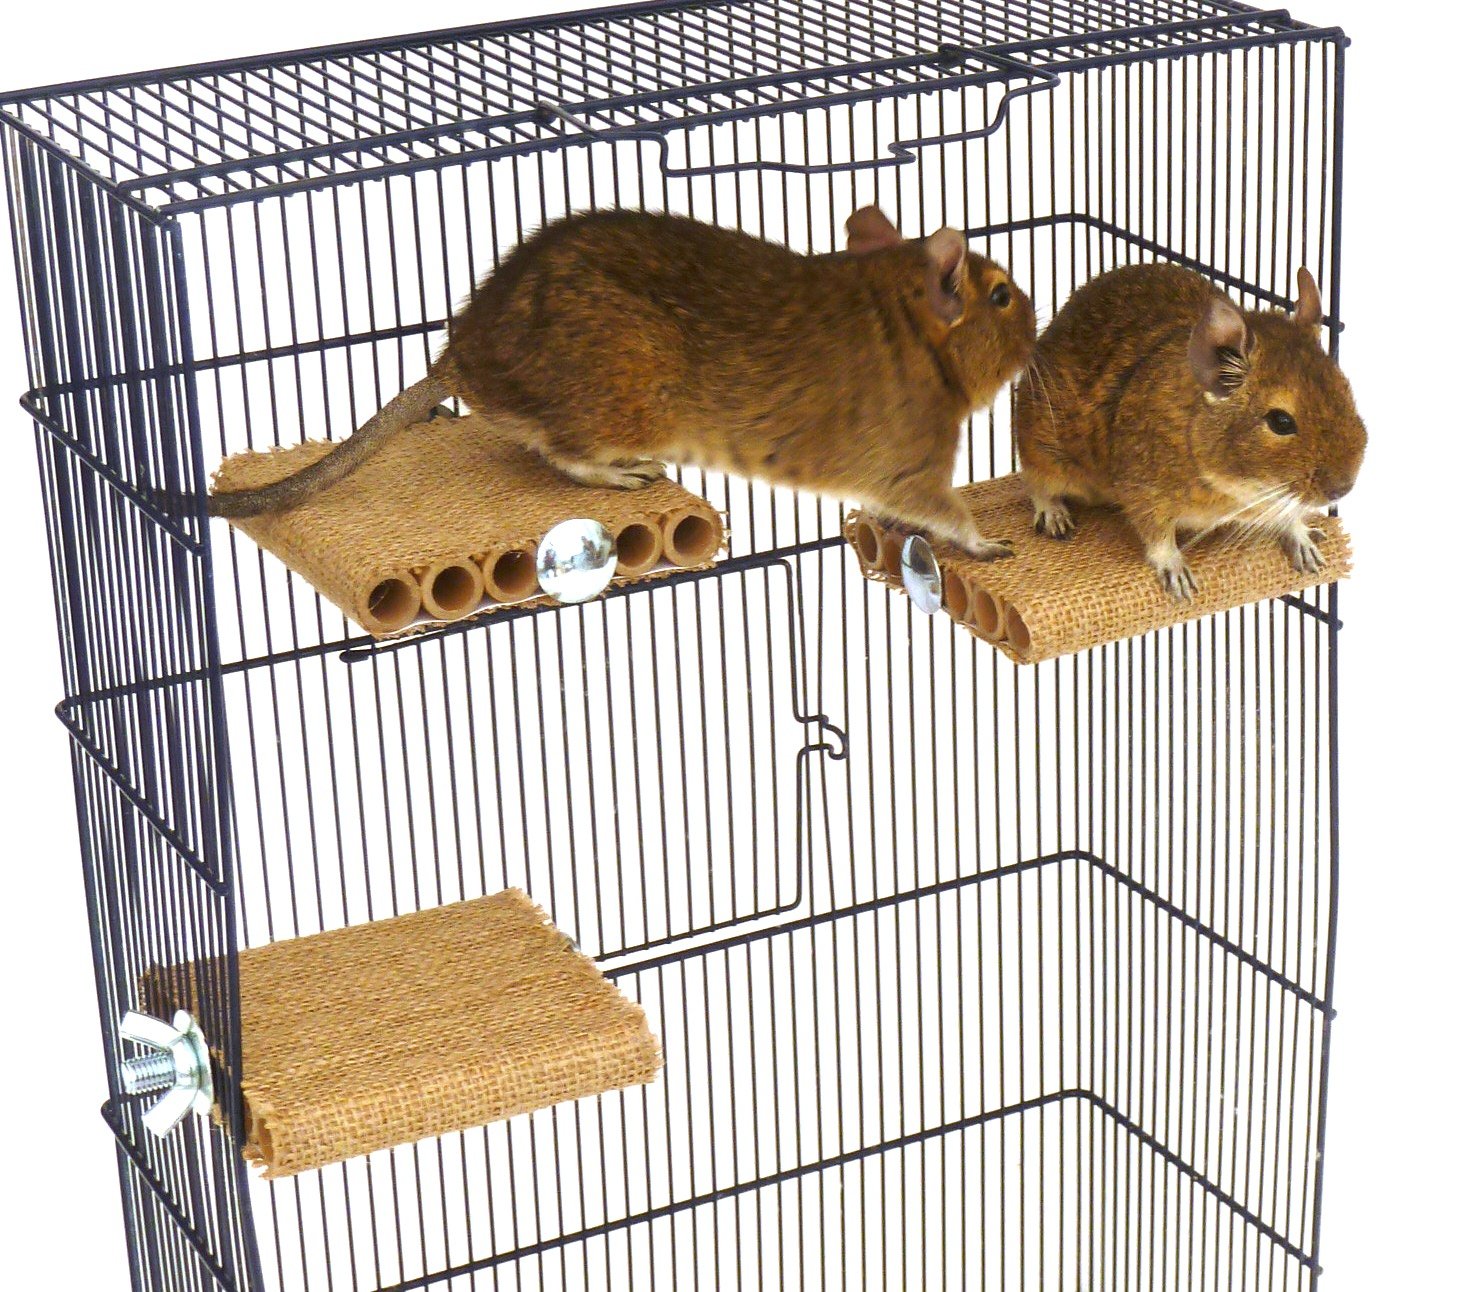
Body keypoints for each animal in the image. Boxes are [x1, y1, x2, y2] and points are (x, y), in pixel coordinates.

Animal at [210, 207, 1036, 560]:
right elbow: (950, 512)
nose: (1035, 331)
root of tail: (461, 355)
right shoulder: (915, 465)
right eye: (1002, 296)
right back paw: (628, 475)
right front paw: (991, 546)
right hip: (630, 398)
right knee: (561, 452)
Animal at [1014, 262, 1366, 600]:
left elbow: (1290, 516)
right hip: (1039, 445)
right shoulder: (1143, 490)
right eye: (1281, 422)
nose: (1343, 489)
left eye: (1346, 392)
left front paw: (1306, 544)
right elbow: (1158, 538)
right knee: (1036, 482)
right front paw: (1178, 578)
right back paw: (1055, 517)